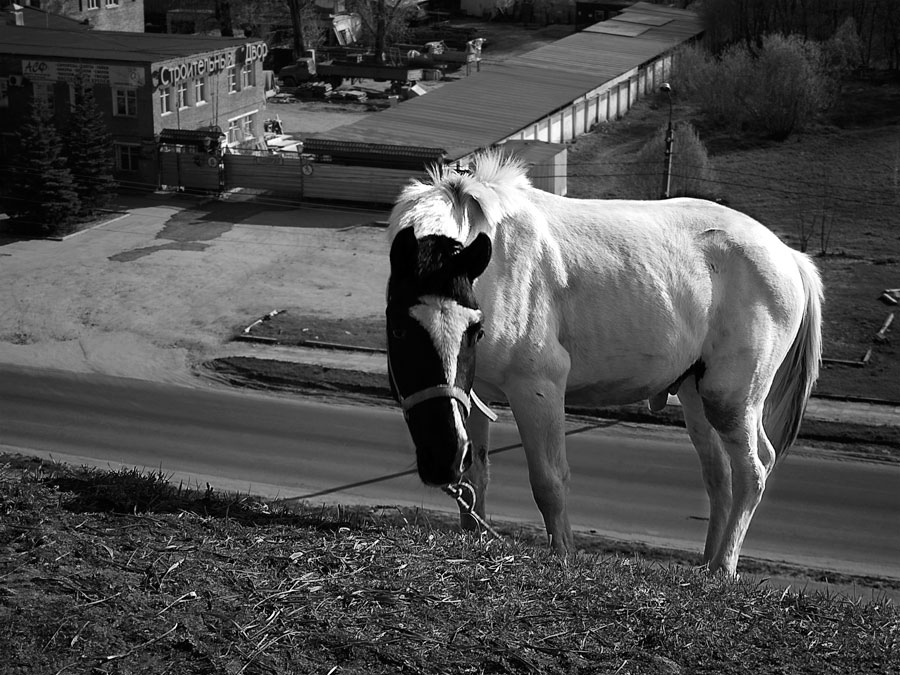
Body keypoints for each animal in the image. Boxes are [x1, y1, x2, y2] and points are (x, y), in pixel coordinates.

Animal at [384, 149, 820, 576]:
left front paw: (563, 557)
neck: (496, 266)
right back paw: (706, 566)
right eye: (399, 330)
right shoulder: (473, 393)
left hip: (730, 399)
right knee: (719, 476)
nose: (441, 459)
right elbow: (477, 476)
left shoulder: (537, 387)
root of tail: (790, 257)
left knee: (753, 472)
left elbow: (549, 481)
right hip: (696, 394)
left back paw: (723, 569)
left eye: (474, 331)